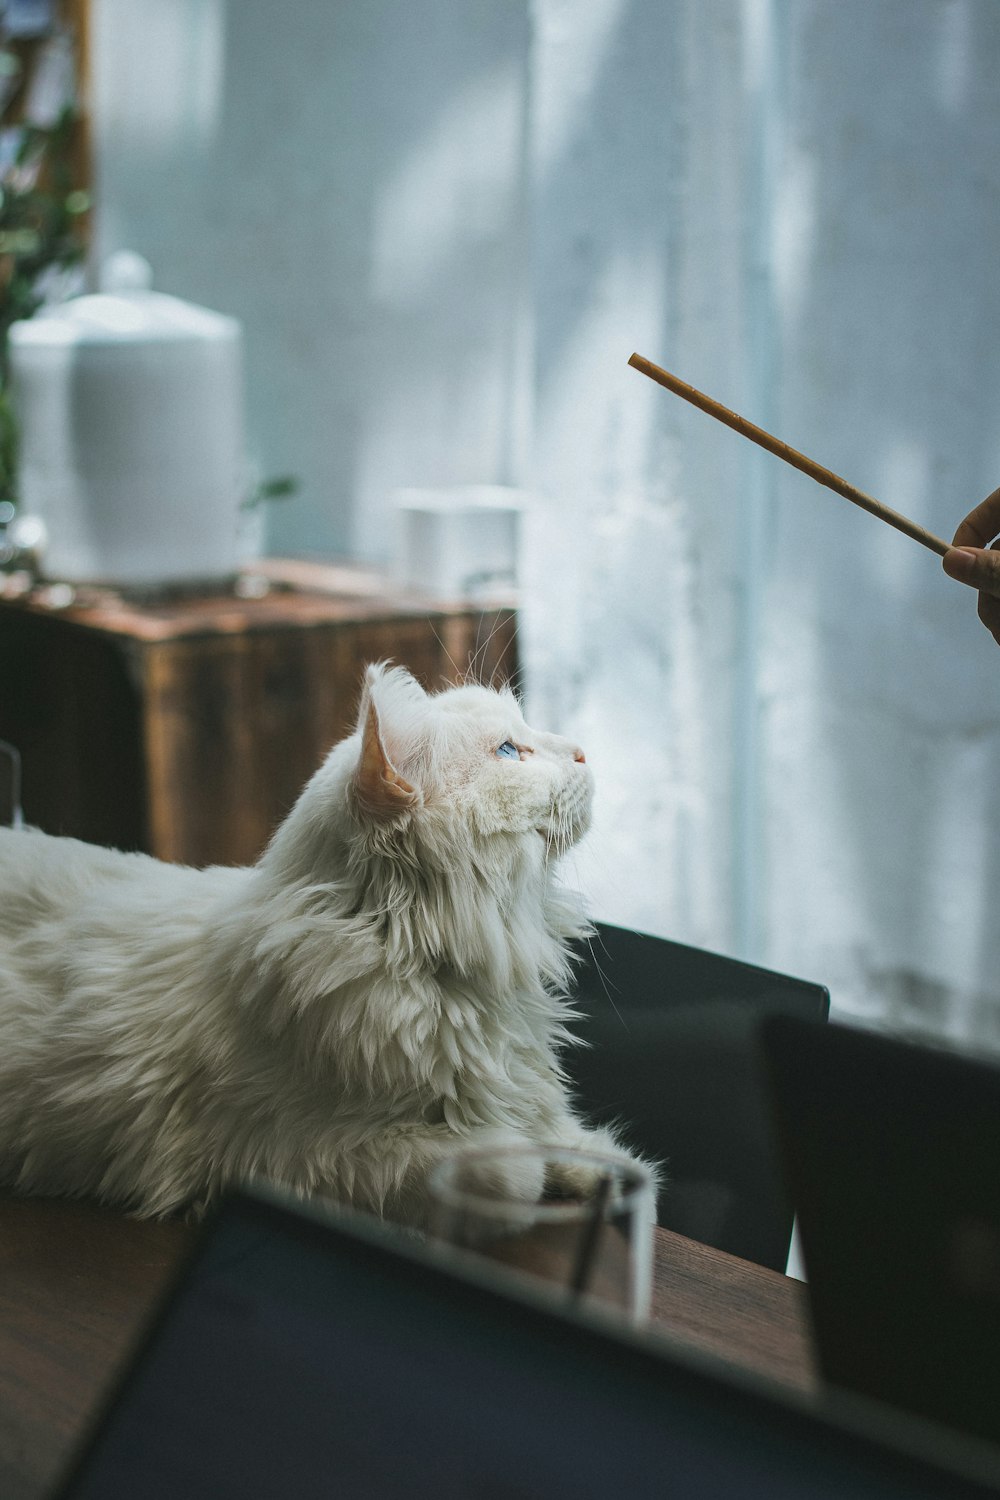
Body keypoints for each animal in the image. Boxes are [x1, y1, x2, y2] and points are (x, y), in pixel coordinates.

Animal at [0, 666, 641, 1218]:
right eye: (510, 751)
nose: (583, 750)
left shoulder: (522, 1078)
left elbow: (563, 1130)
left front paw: (597, 1170)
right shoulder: (294, 1153)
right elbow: (504, 1169)